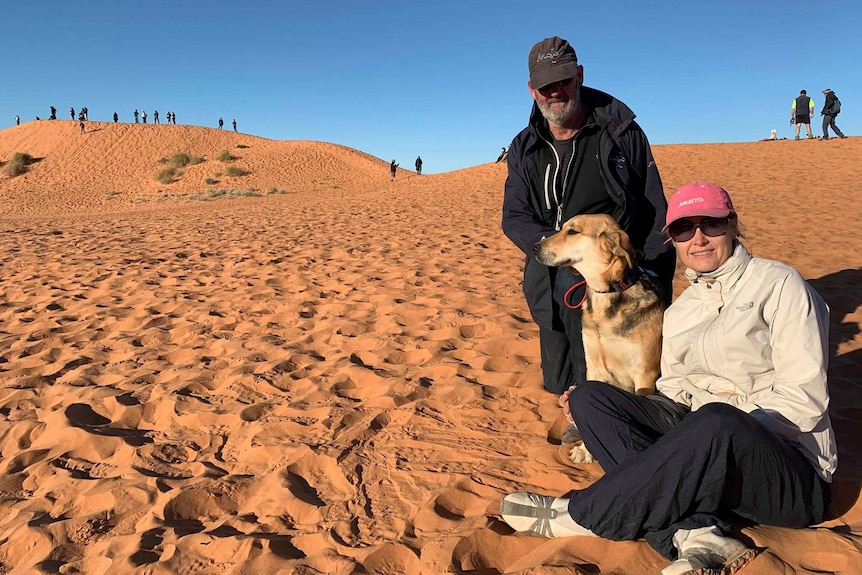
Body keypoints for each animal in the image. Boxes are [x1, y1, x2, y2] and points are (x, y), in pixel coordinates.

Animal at [532, 216, 668, 464]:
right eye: (562, 228)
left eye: (573, 232)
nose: (535, 247)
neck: (608, 295)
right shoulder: (594, 366)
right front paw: (586, 450)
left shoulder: (645, 373)